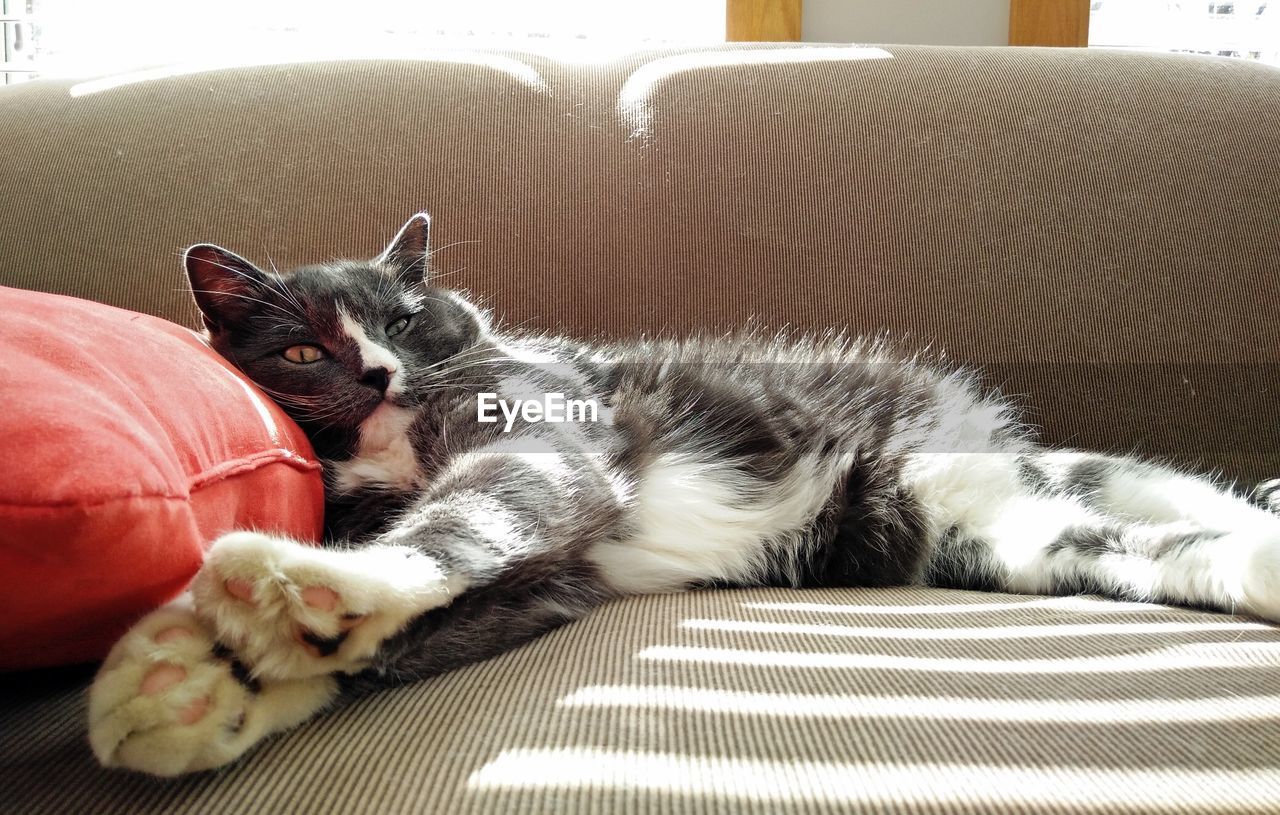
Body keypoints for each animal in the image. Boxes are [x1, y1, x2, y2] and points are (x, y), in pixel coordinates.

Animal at [87, 211, 1280, 777]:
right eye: (299, 348)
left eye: (408, 320)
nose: (379, 372)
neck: (390, 452)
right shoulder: (558, 577)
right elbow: (400, 636)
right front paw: (190, 682)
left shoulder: (547, 447)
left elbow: (464, 520)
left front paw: (292, 587)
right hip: (978, 527)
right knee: (1157, 541)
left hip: (1028, 481)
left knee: (1181, 498)